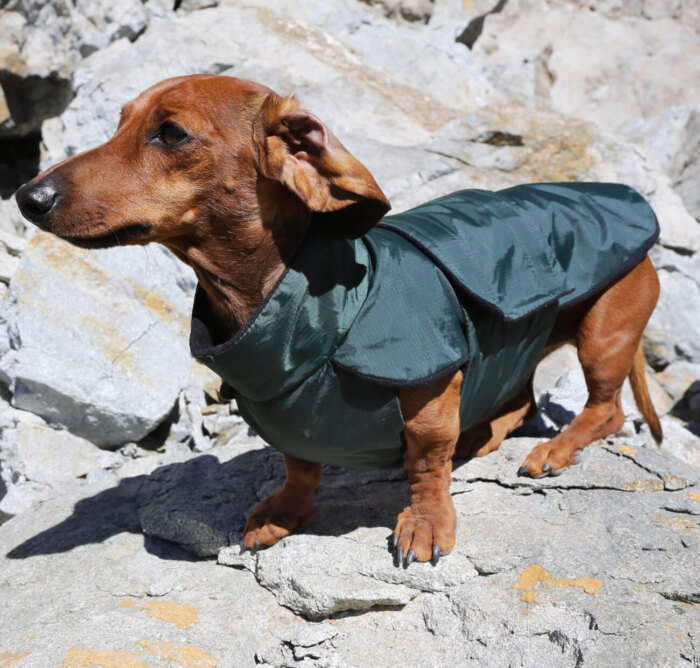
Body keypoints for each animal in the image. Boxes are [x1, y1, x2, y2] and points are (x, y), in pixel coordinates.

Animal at [15, 75, 660, 568]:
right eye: (119, 122)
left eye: (171, 133)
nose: (27, 197)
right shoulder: (286, 422)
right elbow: (299, 466)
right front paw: (284, 512)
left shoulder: (430, 389)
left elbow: (427, 459)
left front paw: (426, 520)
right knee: (520, 402)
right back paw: (483, 435)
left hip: (604, 334)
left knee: (606, 410)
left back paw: (556, 448)